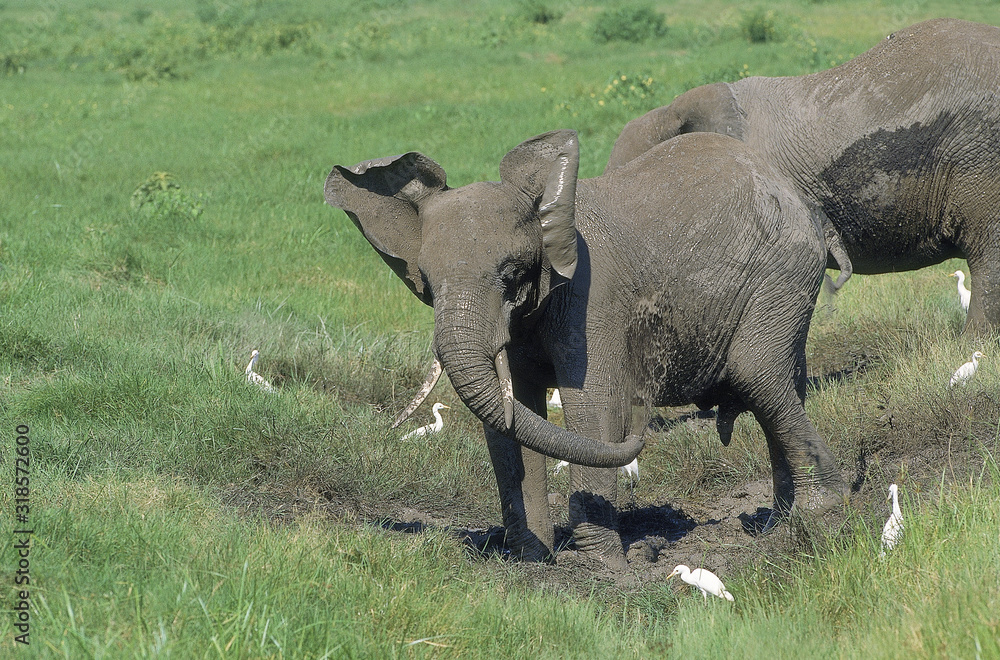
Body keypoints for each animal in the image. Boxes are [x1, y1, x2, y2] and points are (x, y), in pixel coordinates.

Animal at [325, 129, 846, 567]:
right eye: (429, 285)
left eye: (510, 276)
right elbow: (513, 415)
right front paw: (532, 558)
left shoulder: (591, 299)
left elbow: (591, 405)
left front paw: (601, 567)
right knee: (780, 387)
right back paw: (781, 521)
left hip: (782, 273)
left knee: (759, 377)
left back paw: (818, 513)